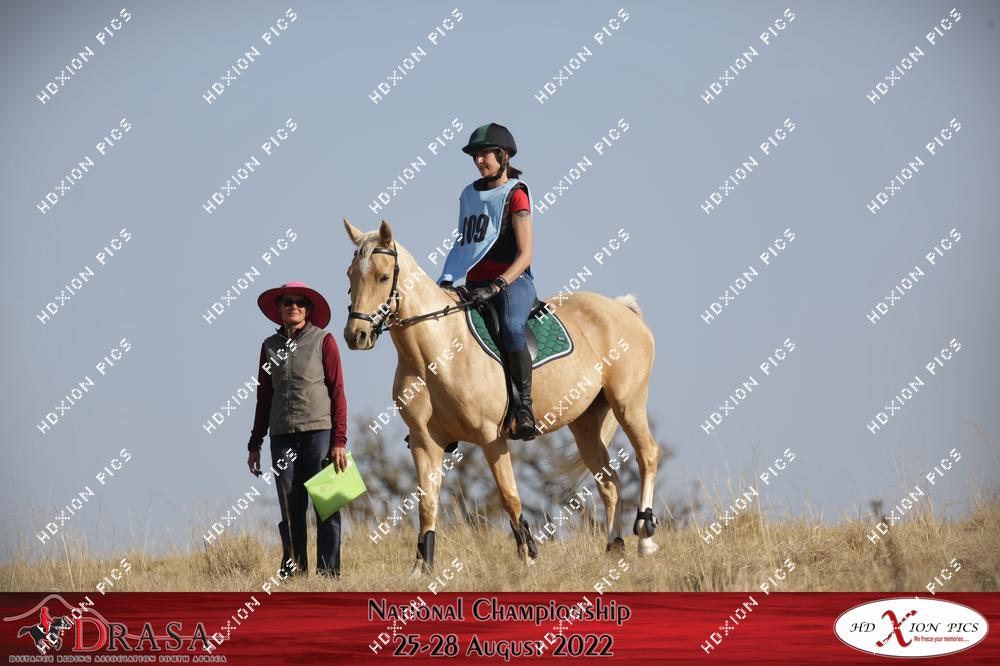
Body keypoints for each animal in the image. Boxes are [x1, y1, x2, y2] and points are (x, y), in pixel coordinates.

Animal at [343, 219, 661, 573]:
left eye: (383, 277)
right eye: (350, 275)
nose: (356, 336)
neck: (435, 354)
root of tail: (621, 307)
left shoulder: (490, 436)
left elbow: (509, 495)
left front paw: (529, 557)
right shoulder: (426, 441)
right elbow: (426, 503)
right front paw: (421, 569)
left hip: (628, 403)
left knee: (648, 455)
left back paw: (645, 537)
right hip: (586, 423)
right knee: (609, 481)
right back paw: (614, 549)